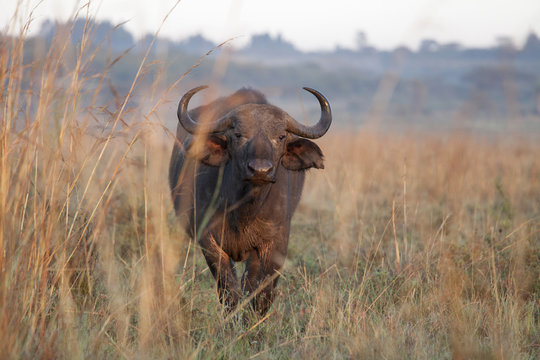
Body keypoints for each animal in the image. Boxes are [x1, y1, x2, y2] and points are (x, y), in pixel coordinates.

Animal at [169, 86, 332, 316]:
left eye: (281, 136)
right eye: (238, 135)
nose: (260, 170)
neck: (244, 210)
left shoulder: (275, 244)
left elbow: (261, 293)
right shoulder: (208, 239)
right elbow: (229, 290)